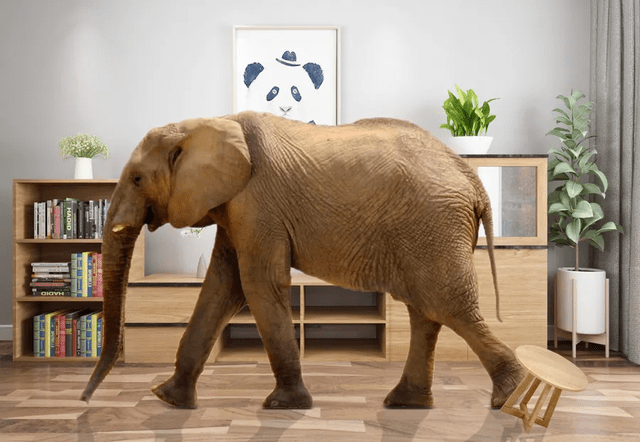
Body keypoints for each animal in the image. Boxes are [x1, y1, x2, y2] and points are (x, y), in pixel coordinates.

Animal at [80, 111, 525, 410]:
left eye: (137, 179)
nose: (85, 401)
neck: (208, 122)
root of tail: (472, 180)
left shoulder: (257, 202)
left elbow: (256, 284)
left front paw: (284, 405)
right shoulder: (236, 206)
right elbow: (222, 287)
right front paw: (168, 399)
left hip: (433, 225)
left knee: (447, 306)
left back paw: (509, 399)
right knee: (427, 311)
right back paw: (405, 403)